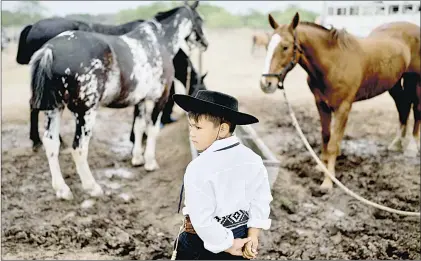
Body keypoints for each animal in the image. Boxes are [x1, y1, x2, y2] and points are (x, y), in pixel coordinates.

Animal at [29, 1, 207, 199]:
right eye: (200, 19)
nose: (205, 44)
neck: (157, 41)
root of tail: (50, 49)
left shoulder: (140, 100)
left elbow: (138, 127)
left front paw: (137, 158)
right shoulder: (160, 97)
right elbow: (152, 130)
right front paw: (150, 162)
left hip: (54, 109)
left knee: (51, 143)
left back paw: (62, 189)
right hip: (85, 112)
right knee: (79, 147)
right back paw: (92, 187)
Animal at [260, 12, 420, 191]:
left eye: (285, 47)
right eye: (267, 46)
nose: (266, 83)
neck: (334, 63)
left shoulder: (343, 108)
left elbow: (333, 144)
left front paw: (328, 182)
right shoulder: (321, 104)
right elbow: (325, 137)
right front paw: (321, 167)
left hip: (416, 80)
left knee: (416, 109)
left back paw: (412, 147)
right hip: (395, 83)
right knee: (403, 106)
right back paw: (397, 144)